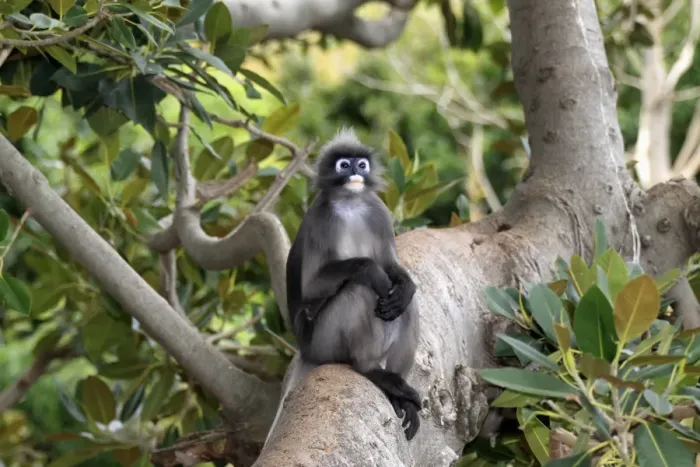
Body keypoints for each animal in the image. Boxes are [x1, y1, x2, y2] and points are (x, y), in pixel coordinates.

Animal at [264, 127, 422, 445]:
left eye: (361, 164)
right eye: (343, 165)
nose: (355, 173)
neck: (351, 203)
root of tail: (304, 351)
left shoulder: (378, 211)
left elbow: (392, 268)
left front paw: (404, 284)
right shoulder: (321, 219)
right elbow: (314, 287)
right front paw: (372, 271)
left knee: (406, 306)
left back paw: (399, 389)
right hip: (324, 343)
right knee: (357, 291)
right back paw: (371, 370)